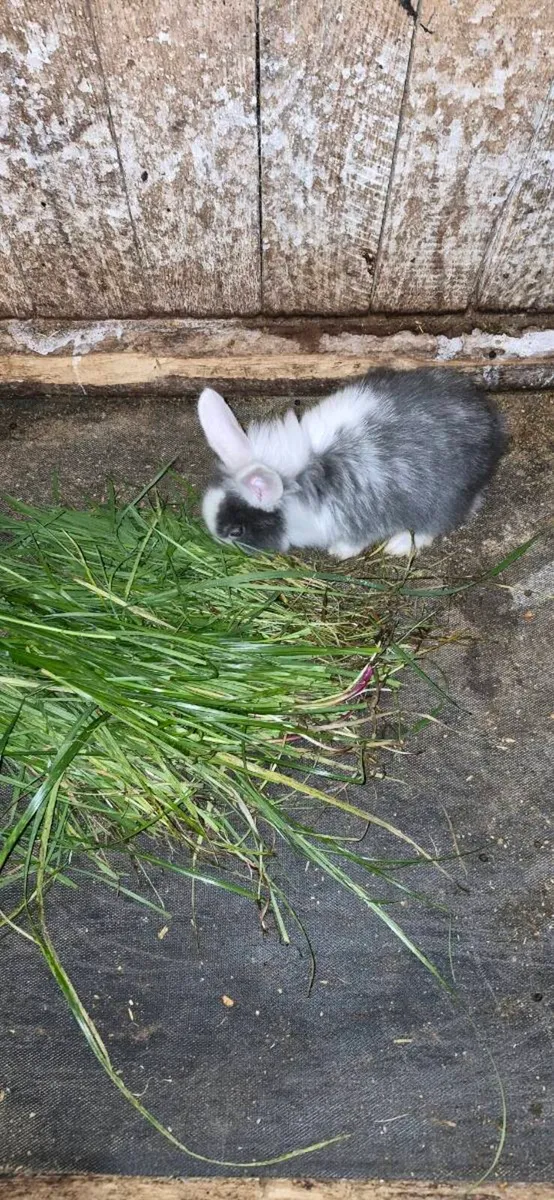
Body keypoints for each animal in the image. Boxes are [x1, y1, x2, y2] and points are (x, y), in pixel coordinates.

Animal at [197, 368, 506, 559]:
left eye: (236, 531)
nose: (217, 542)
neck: (295, 486)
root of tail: (491, 427)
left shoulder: (357, 519)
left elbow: (357, 539)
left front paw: (339, 552)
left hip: (442, 498)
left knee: (437, 524)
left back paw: (399, 544)